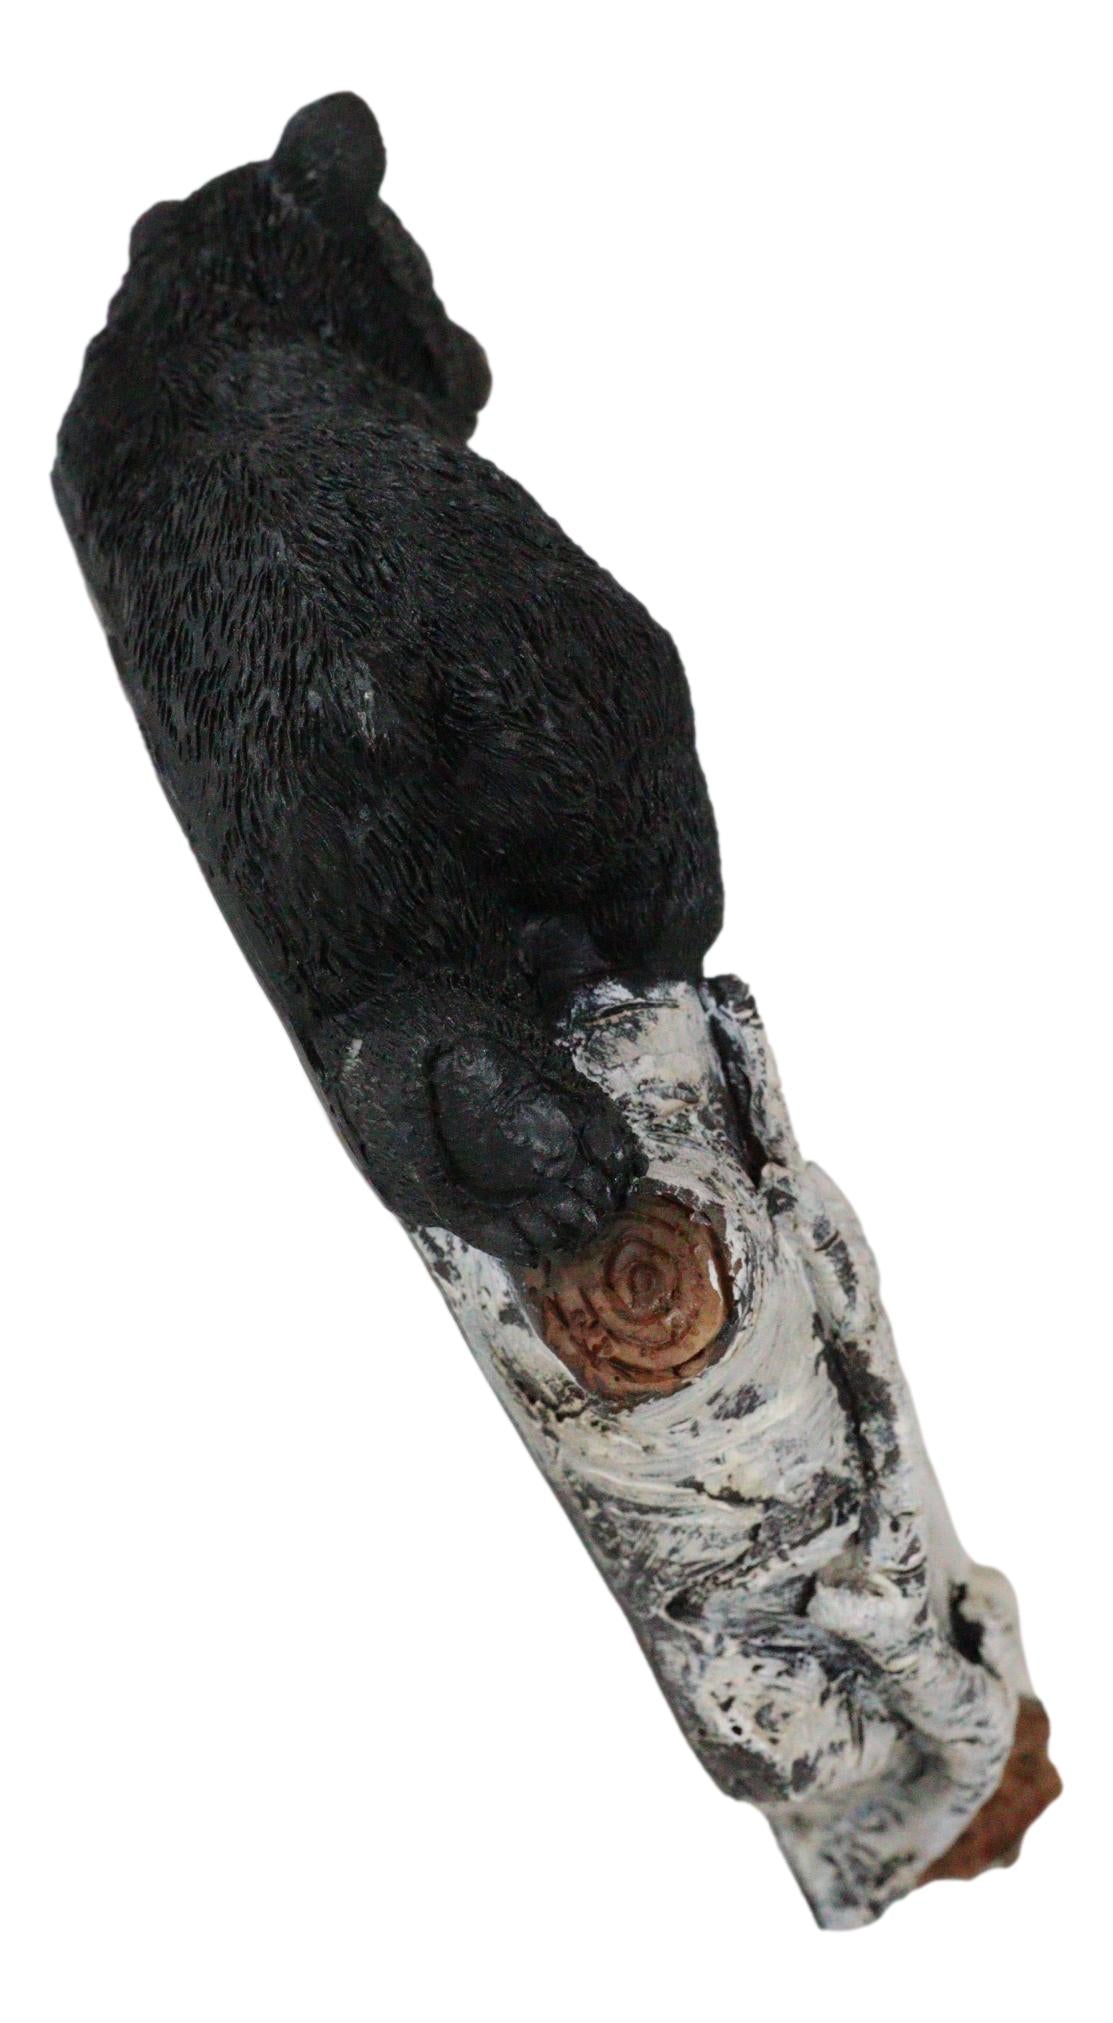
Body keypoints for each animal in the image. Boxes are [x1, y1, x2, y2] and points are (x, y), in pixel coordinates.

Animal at [54, 93, 724, 1262]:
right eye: (413, 257)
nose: (475, 355)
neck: (200, 307)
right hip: (614, 732)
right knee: (651, 916)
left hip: (356, 987)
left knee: (391, 1096)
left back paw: (515, 1147)